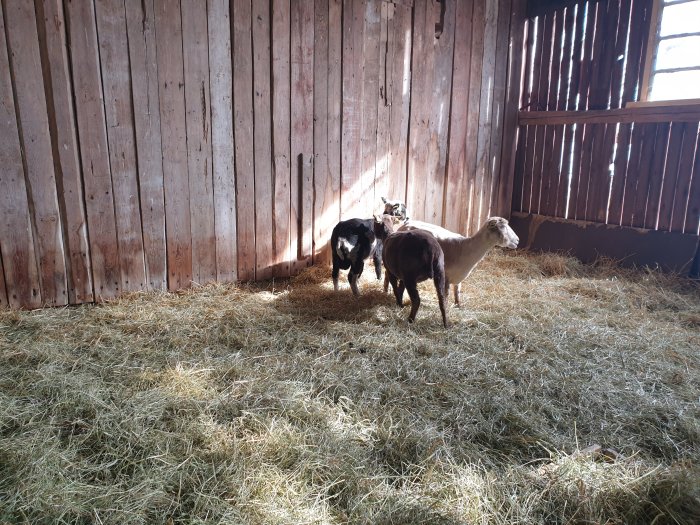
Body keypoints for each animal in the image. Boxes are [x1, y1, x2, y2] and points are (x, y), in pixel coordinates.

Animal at [388, 217, 520, 308]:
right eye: (502, 227)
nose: (518, 240)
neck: (466, 247)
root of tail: (405, 225)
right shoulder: (446, 277)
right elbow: (446, 295)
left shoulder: (458, 277)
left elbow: (457, 292)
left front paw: (458, 305)